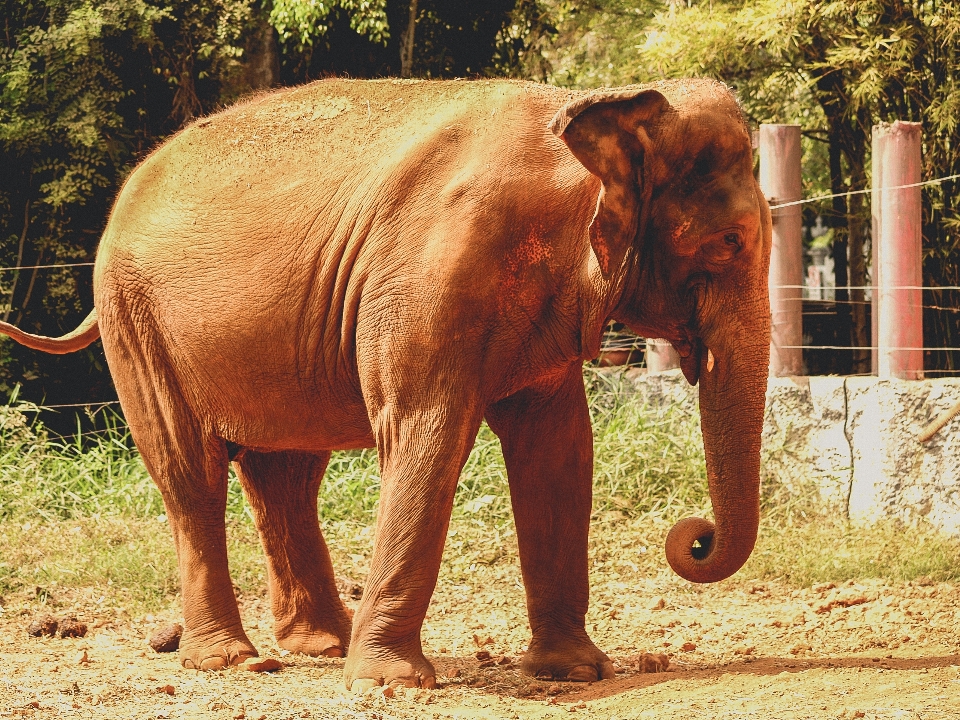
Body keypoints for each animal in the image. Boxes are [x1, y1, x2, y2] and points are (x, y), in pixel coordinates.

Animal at [0, 77, 768, 688]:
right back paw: (234, 661)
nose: (694, 537)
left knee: (285, 475)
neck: (579, 124)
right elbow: (425, 433)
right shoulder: (433, 274)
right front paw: (393, 681)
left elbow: (560, 450)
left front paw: (576, 671)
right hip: (137, 321)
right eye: (728, 243)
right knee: (190, 472)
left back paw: (320, 645)